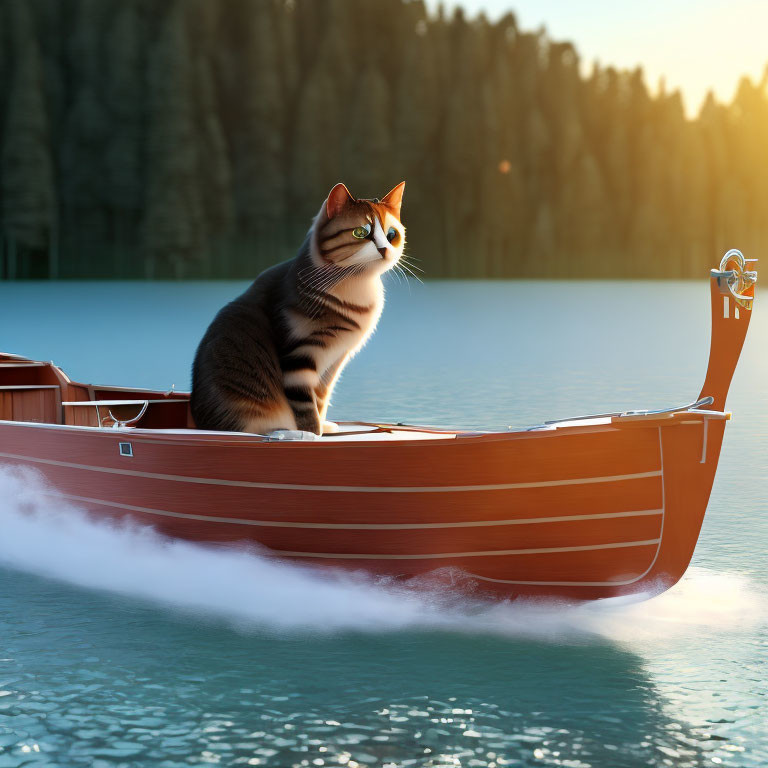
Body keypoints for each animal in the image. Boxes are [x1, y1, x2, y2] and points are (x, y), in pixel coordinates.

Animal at [191, 177, 404, 436]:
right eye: (360, 232)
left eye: (392, 234)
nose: (384, 249)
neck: (357, 284)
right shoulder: (298, 356)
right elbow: (305, 405)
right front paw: (312, 434)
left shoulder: (334, 362)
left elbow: (321, 398)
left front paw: (323, 427)